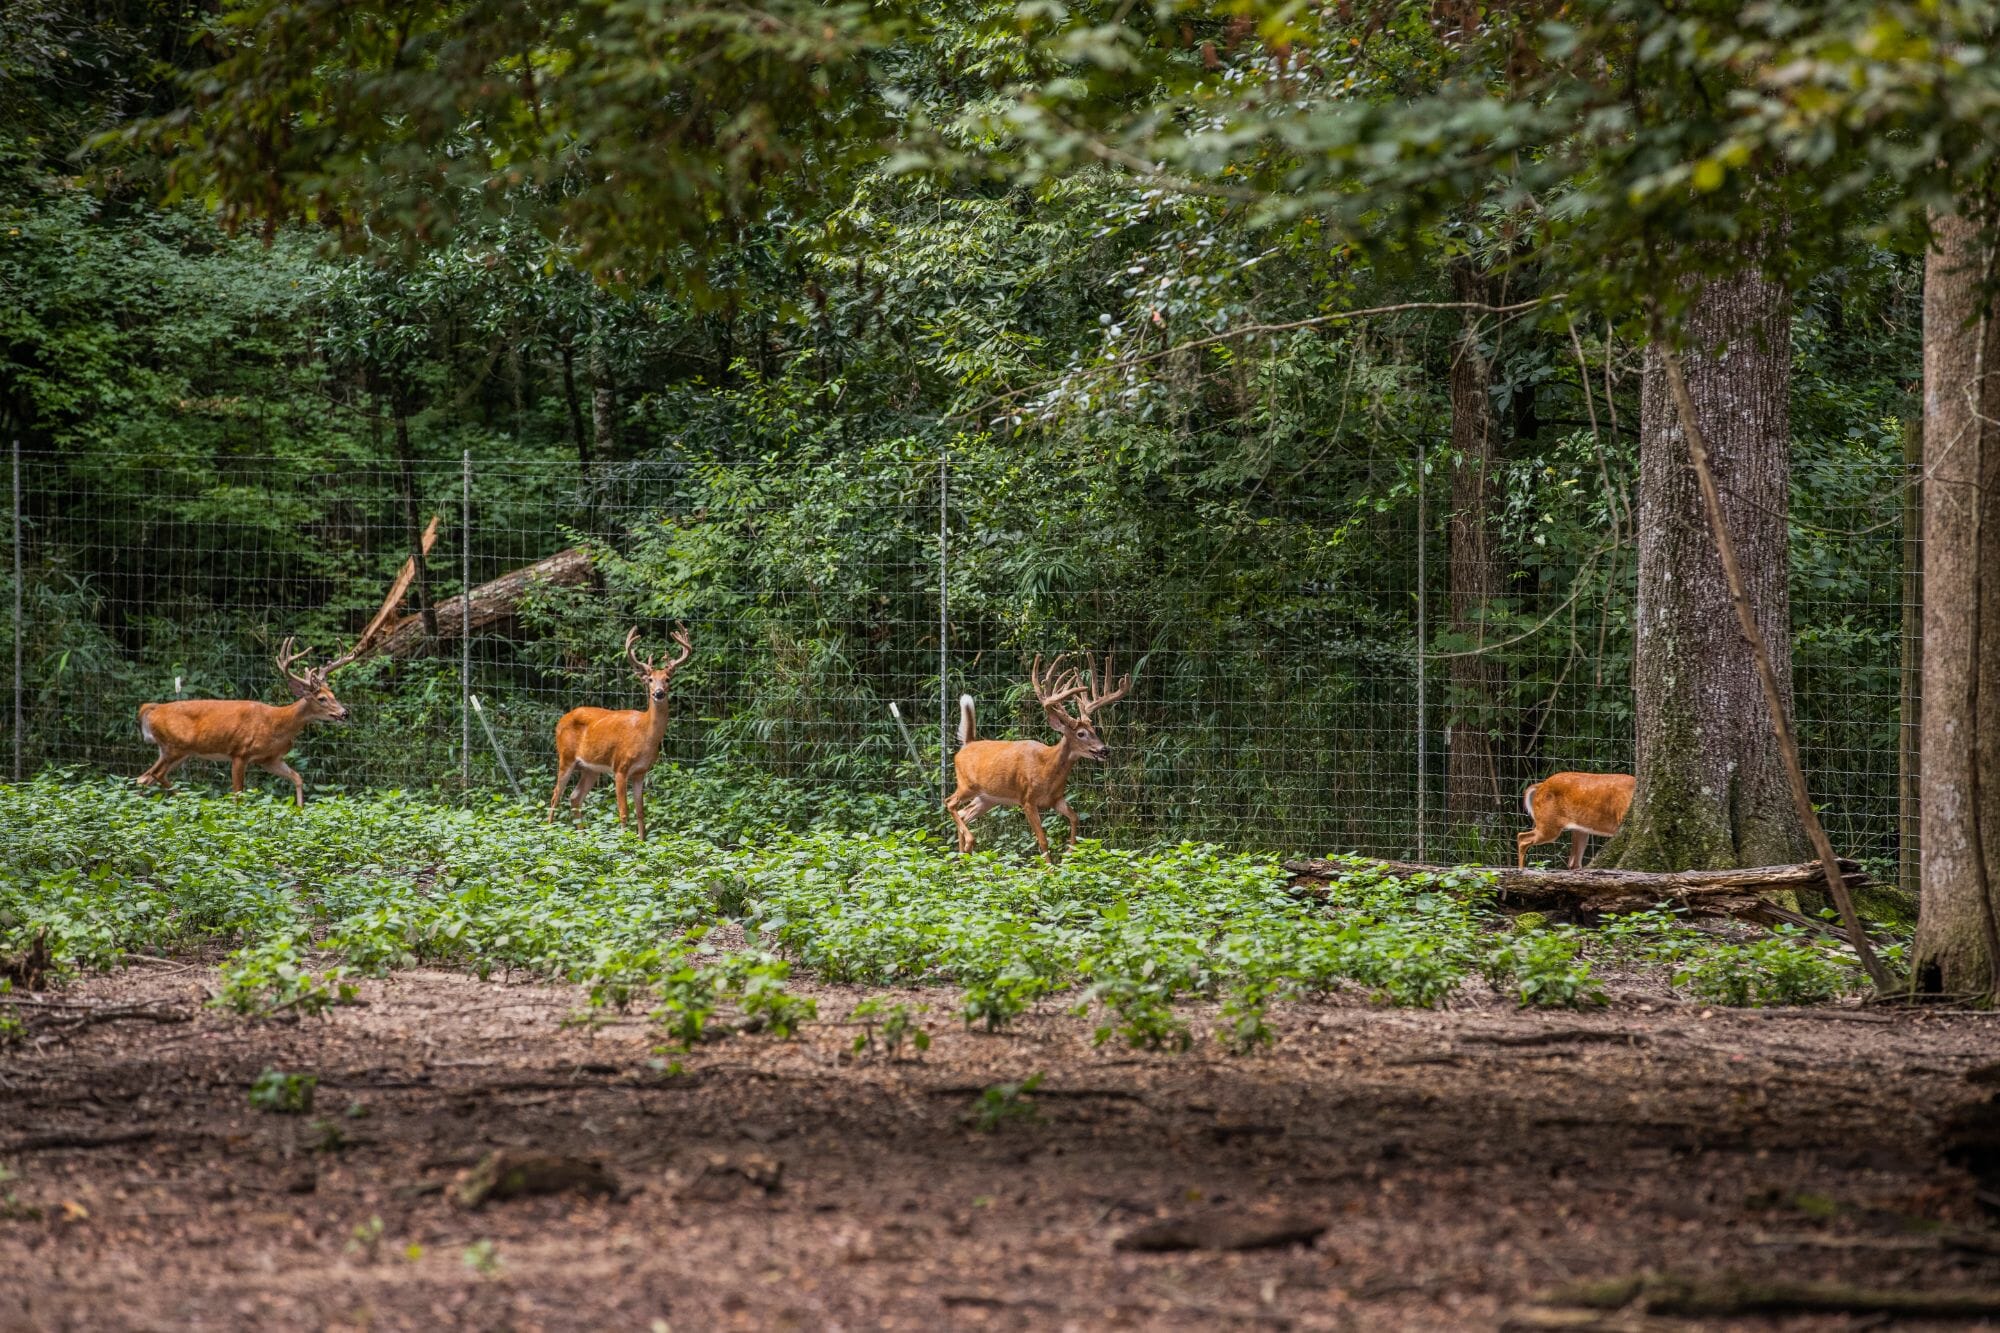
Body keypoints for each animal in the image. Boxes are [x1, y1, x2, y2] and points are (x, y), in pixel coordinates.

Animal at [134, 638, 356, 807]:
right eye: (322, 699)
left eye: (333, 695)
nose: (344, 713)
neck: (277, 723)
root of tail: (153, 709)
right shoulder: (239, 752)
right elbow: (238, 794)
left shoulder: (269, 759)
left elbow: (298, 777)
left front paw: (300, 810)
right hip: (175, 747)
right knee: (155, 775)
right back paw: (192, 802)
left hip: (176, 751)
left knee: (144, 778)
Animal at [548, 625, 693, 840]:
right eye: (650, 679)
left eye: (667, 679)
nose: (658, 693)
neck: (645, 735)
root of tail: (561, 720)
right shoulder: (620, 768)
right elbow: (623, 811)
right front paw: (624, 842)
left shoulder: (640, 772)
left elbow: (641, 811)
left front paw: (641, 841)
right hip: (566, 756)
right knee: (555, 795)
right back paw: (548, 830)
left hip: (591, 768)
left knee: (575, 797)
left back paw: (581, 836)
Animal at [946, 651, 1131, 864]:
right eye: (1081, 734)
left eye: (1095, 730)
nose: (1104, 750)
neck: (1047, 768)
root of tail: (967, 744)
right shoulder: (1027, 799)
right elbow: (1043, 840)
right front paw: (1049, 868)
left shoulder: (1056, 799)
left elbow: (1075, 818)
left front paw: (1069, 855)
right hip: (966, 785)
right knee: (949, 803)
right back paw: (968, 844)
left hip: (987, 798)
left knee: (963, 813)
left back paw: (963, 859)